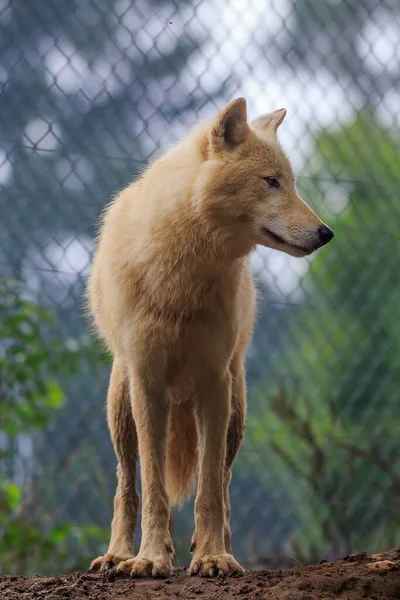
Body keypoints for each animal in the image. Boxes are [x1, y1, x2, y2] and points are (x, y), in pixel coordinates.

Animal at [86, 97, 334, 576]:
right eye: (271, 182)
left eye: (293, 184)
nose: (326, 233)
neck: (182, 276)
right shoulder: (147, 383)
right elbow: (154, 488)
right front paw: (150, 558)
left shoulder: (214, 383)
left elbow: (210, 490)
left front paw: (213, 556)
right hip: (121, 405)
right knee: (127, 485)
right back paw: (118, 555)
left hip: (236, 407)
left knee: (224, 481)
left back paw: (218, 548)